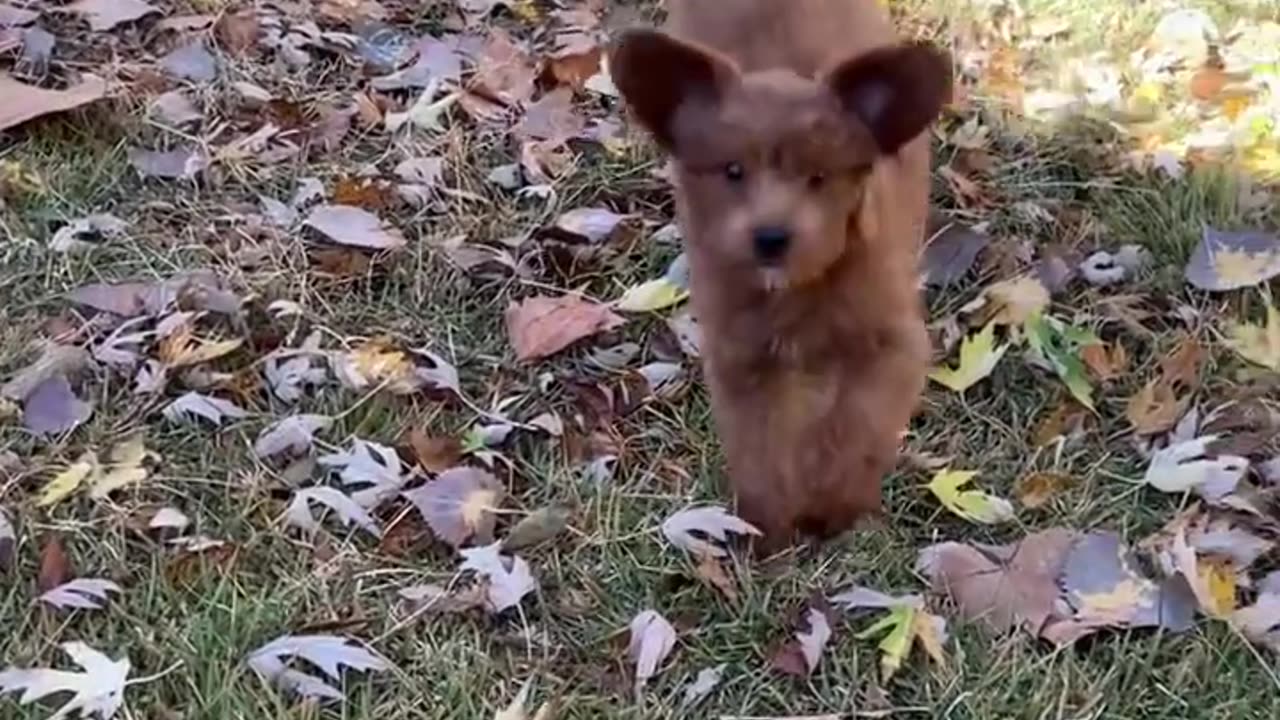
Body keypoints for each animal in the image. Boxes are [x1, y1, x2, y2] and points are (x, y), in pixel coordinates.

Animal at [609, 0, 952, 548]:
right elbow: (759, 449)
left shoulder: (891, 346)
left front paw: (834, 507)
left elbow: (856, 428)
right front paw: (766, 530)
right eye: (732, 171)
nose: (771, 237)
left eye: (819, 178)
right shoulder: (740, 358)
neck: (796, 291)